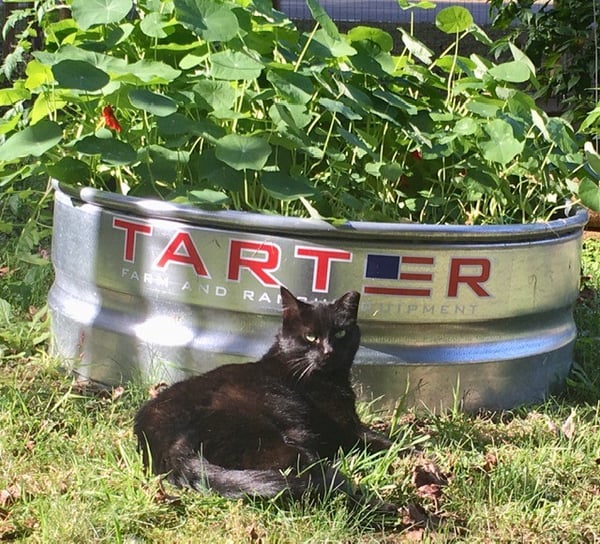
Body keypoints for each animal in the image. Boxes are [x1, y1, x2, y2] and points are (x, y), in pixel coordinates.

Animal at [133, 286, 392, 504]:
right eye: (310, 336)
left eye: (340, 333)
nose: (329, 351)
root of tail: (164, 445)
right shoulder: (345, 430)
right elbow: (389, 443)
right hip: (274, 439)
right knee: (313, 479)